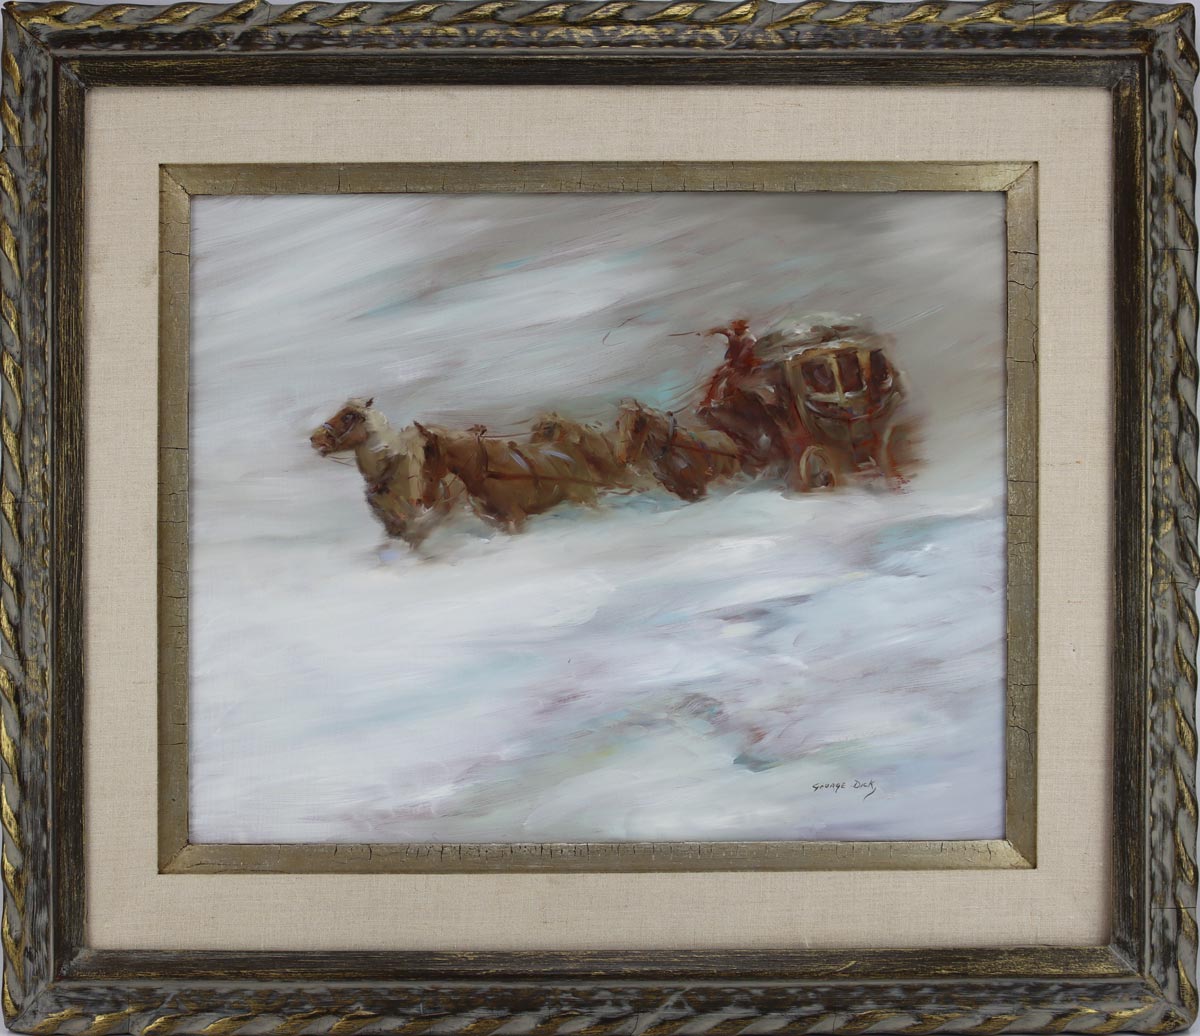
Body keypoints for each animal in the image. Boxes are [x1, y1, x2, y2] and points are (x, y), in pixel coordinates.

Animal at [413, 422, 608, 532]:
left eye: (430, 453)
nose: (425, 499)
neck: (484, 472)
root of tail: (570, 446)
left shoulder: (517, 516)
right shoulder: (496, 521)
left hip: (585, 495)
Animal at [614, 401, 743, 501]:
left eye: (637, 425)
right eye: (617, 424)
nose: (623, 457)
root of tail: (726, 437)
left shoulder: (700, 486)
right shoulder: (680, 490)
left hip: (732, 474)